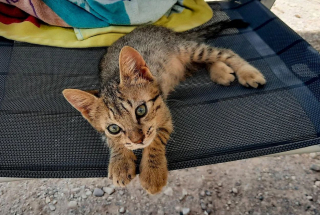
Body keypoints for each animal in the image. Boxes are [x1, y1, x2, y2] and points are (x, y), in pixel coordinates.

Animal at [62, 20, 264, 195]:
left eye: (141, 110)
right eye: (114, 128)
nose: (137, 141)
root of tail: (156, 27)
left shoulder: (165, 116)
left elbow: (156, 140)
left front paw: (152, 173)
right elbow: (114, 142)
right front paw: (120, 164)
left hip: (189, 50)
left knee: (225, 52)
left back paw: (248, 72)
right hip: (185, 68)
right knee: (204, 62)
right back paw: (220, 72)